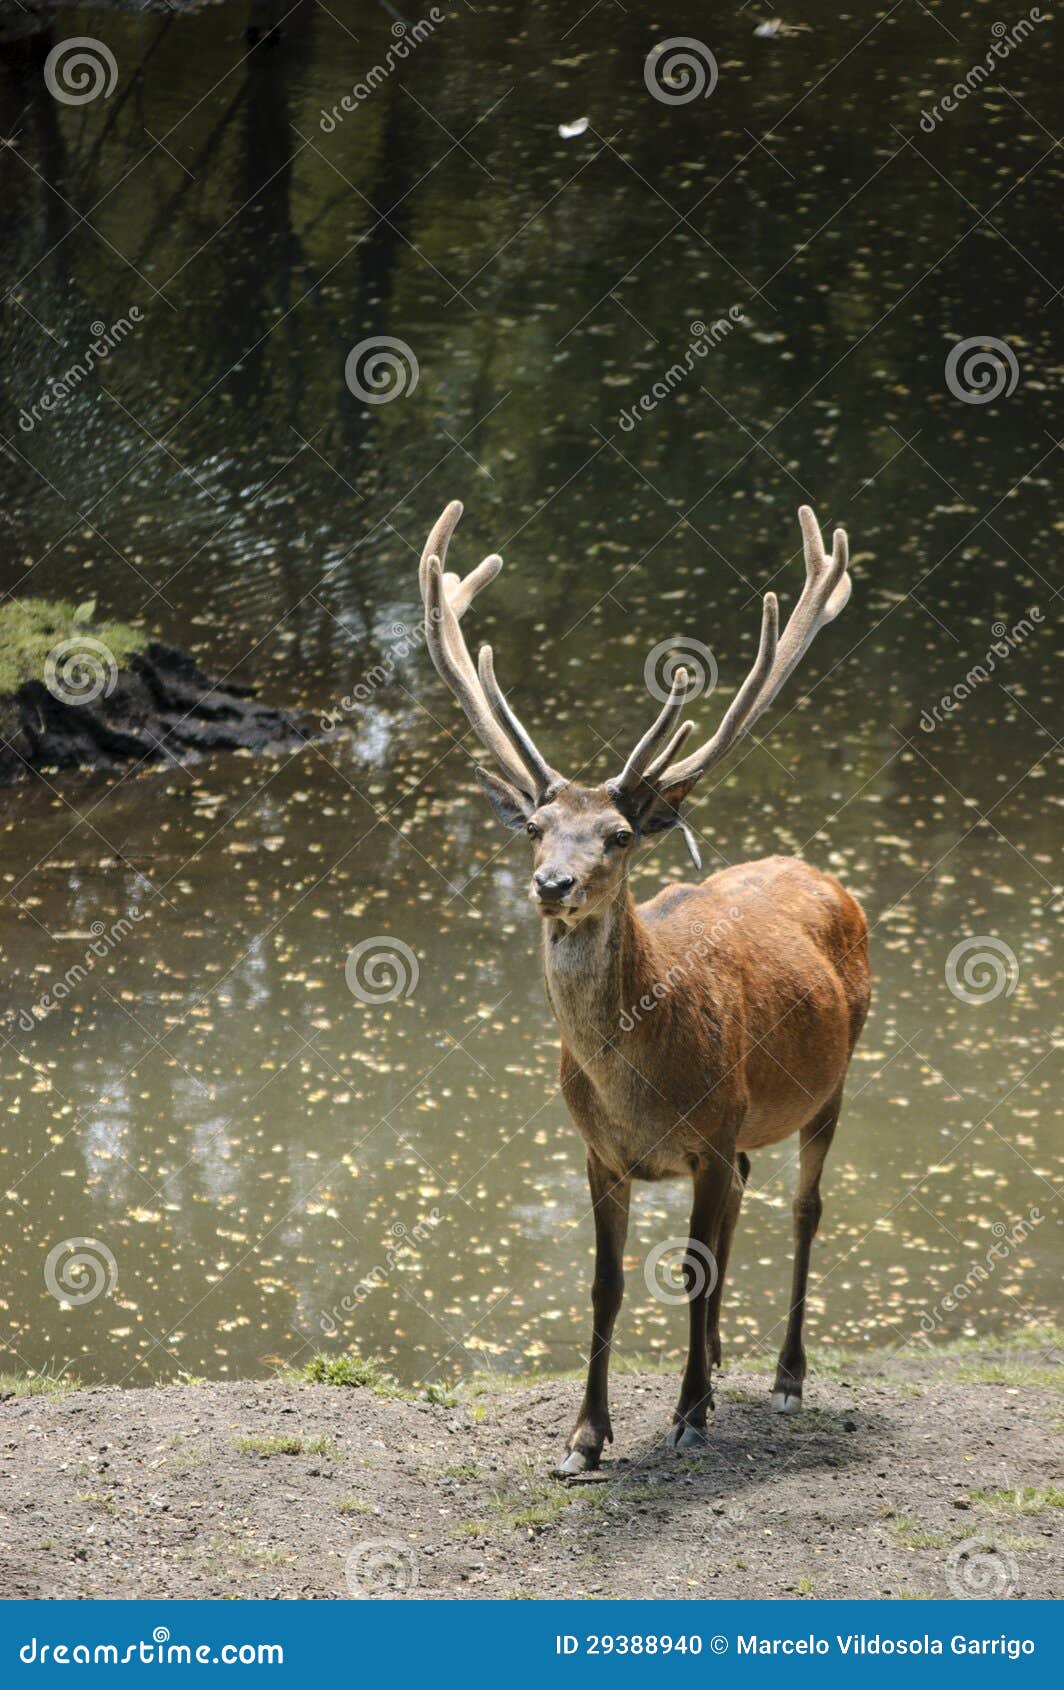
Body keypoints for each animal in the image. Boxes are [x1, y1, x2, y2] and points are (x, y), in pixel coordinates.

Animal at [417, 493, 878, 1473]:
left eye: (620, 836)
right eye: (535, 828)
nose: (554, 884)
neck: (642, 1088)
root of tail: (822, 872)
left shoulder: (710, 1130)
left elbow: (695, 1269)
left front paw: (690, 1412)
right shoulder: (601, 1151)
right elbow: (606, 1286)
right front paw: (585, 1436)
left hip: (833, 1077)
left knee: (805, 1207)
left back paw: (783, 1376)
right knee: (745, 1201)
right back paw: (719, 1359)